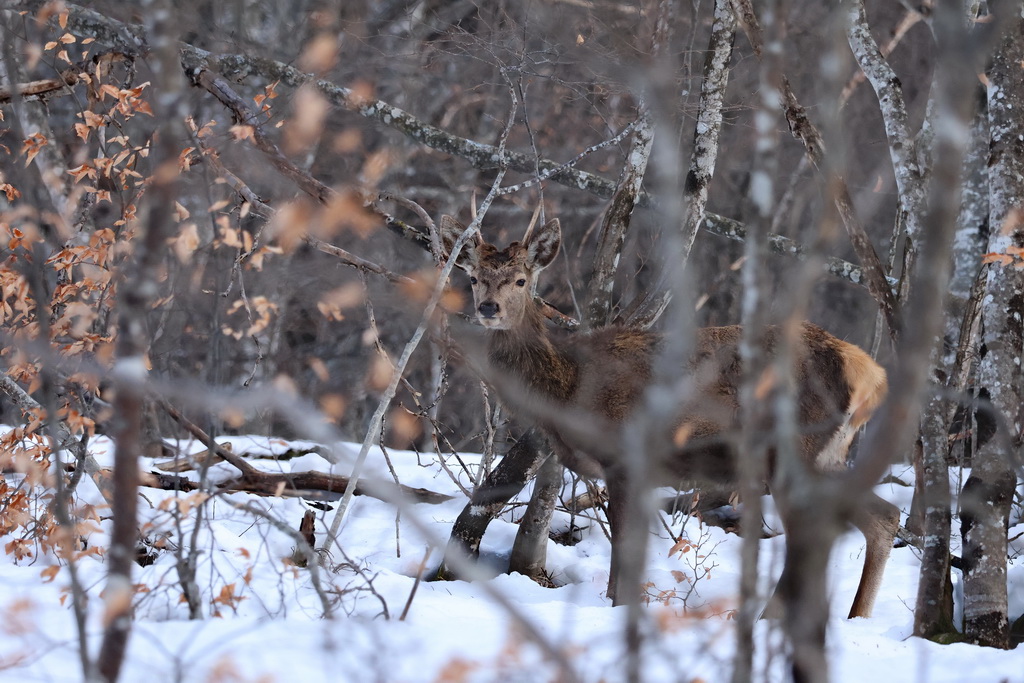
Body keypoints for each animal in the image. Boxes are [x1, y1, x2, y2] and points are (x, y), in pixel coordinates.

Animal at [440, 215, 897, 618]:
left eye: (521, 280)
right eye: (474, 277)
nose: (489, 308)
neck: (569, 387)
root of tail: (871, 374)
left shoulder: (626, 455)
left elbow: (625, 547)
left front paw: (621, 608)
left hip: (795, 451)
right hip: (828, 455)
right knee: (885, 517)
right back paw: (855, 616)